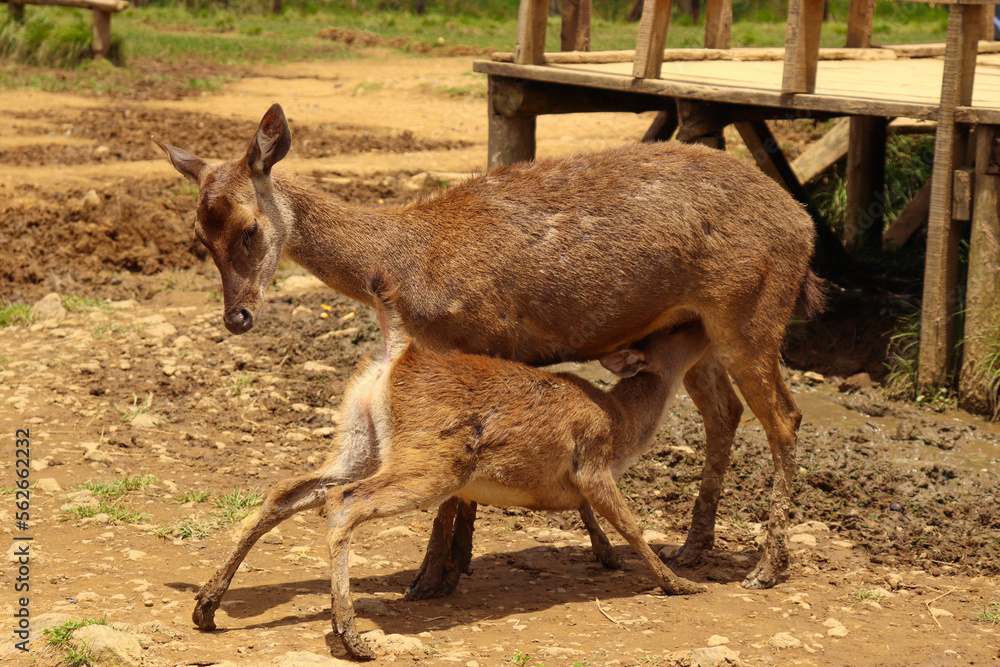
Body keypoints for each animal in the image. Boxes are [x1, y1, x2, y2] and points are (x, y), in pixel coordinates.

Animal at [156, 102, 823, 612]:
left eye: (248, 229)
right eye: (200, 235)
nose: (237, 318)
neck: (405, 263)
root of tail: (806, 227)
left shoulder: (477, 341)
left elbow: (455, 485)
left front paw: (431, 578)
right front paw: (453, 568)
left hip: (751, 315)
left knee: (784, 418)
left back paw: (764, 568)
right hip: (700, 329)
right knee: (724, 413)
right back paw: (693, 547)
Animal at [193, 273, 713, 660]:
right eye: (671, 330)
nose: (701, 321)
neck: (622, 421)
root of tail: (395, 354)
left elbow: (591, 516)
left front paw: (607, 557)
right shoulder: (593, 463)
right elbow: (630, 524)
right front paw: (678, 583)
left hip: (358, 445)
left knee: (287, 491)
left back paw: (207, 607)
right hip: (431, 462)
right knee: (342, 502)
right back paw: (351, 636)